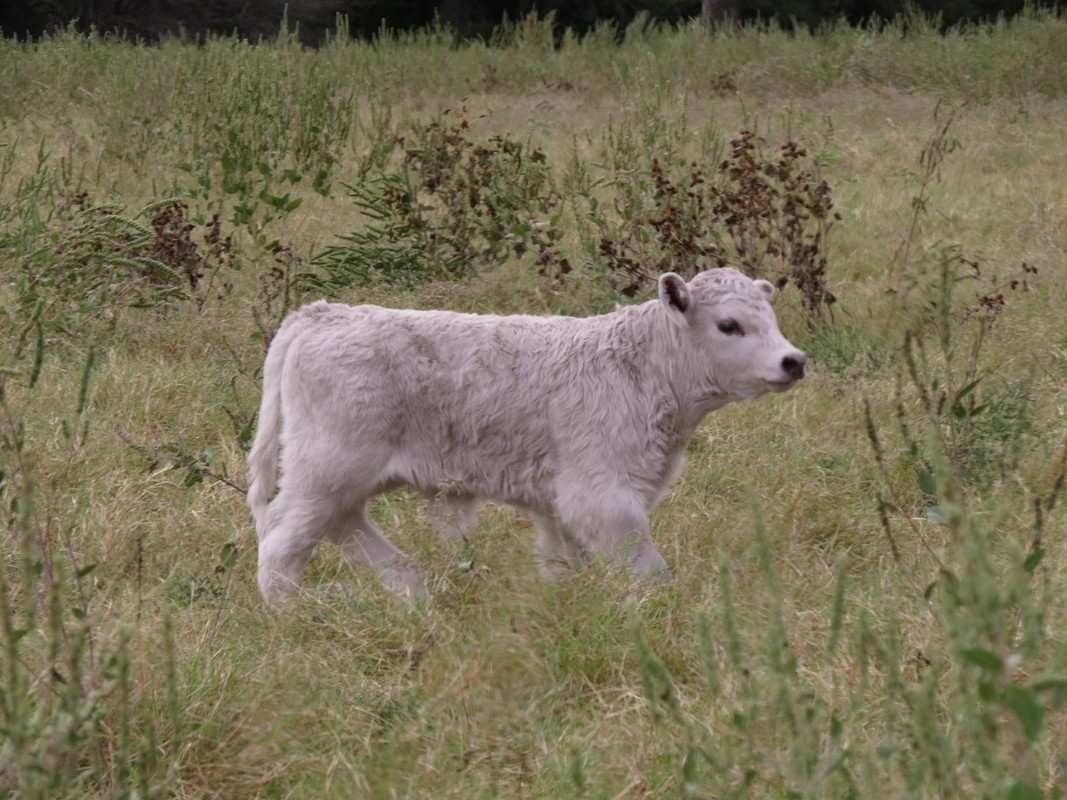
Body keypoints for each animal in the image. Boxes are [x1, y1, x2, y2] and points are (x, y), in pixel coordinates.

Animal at [246, 268, 805, 603]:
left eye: (772, 319)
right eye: (729, 324)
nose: (793, 360)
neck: (641, 369)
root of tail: (324, 312)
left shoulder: (561, 502)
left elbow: (565, 562)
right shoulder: (601, 494)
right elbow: (647, 569)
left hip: (338, 478)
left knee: (343, 527)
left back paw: (412, 593)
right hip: (326, 468)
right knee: (283, 541)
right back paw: (290, 616)